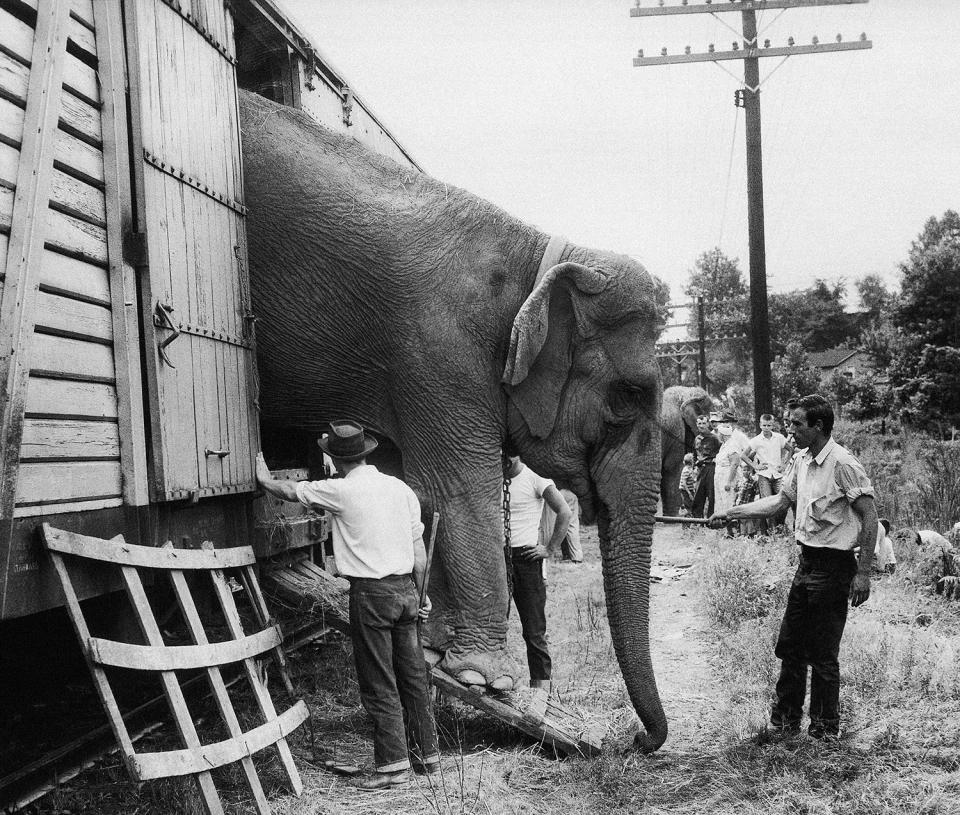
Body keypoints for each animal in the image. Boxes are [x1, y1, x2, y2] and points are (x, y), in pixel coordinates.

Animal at [242, 89, 668, 752]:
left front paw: (438, 648)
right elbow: (459, 489)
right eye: (629, 394)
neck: (536, 255)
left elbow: (416, 490)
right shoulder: (437, 350)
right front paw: (486, 679)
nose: (638, 742)